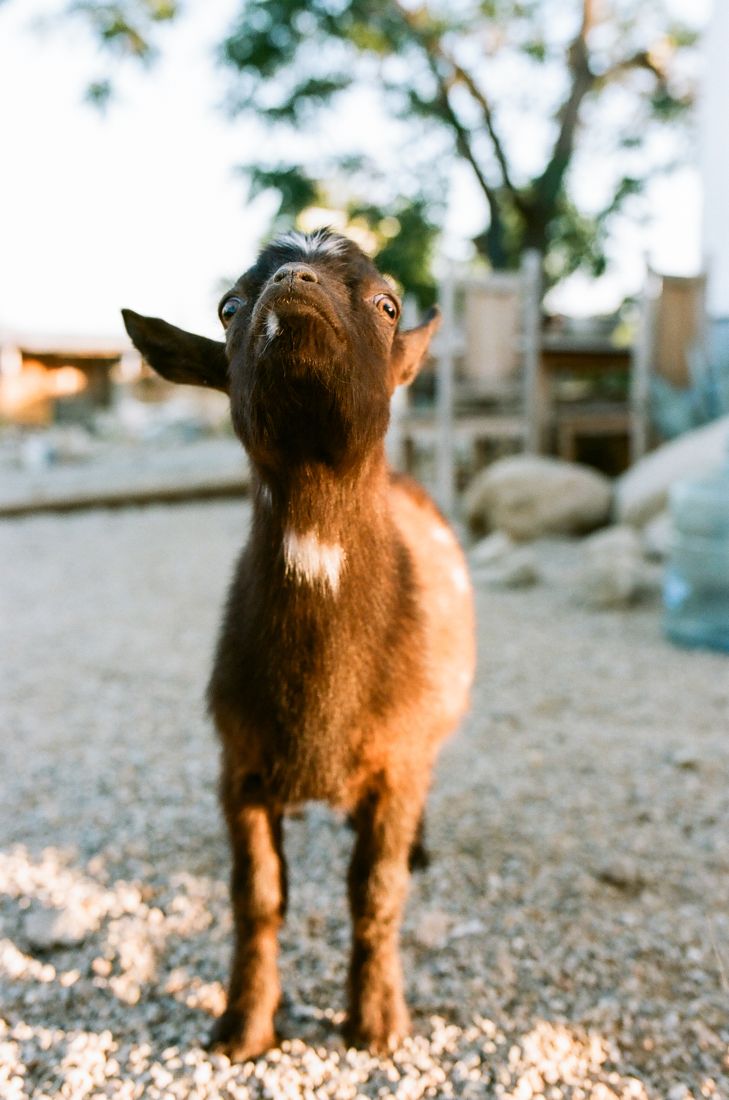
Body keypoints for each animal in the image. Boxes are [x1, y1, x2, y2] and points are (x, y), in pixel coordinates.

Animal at [122, 229, 475, 1061]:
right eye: (227, 306)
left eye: (387, 303)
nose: (294, 280)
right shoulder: (239, 764)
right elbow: (256, 897)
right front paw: (243, 1027)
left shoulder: (399, 757)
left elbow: (376, 893)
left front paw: (376, 1022)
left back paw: (420, 847)